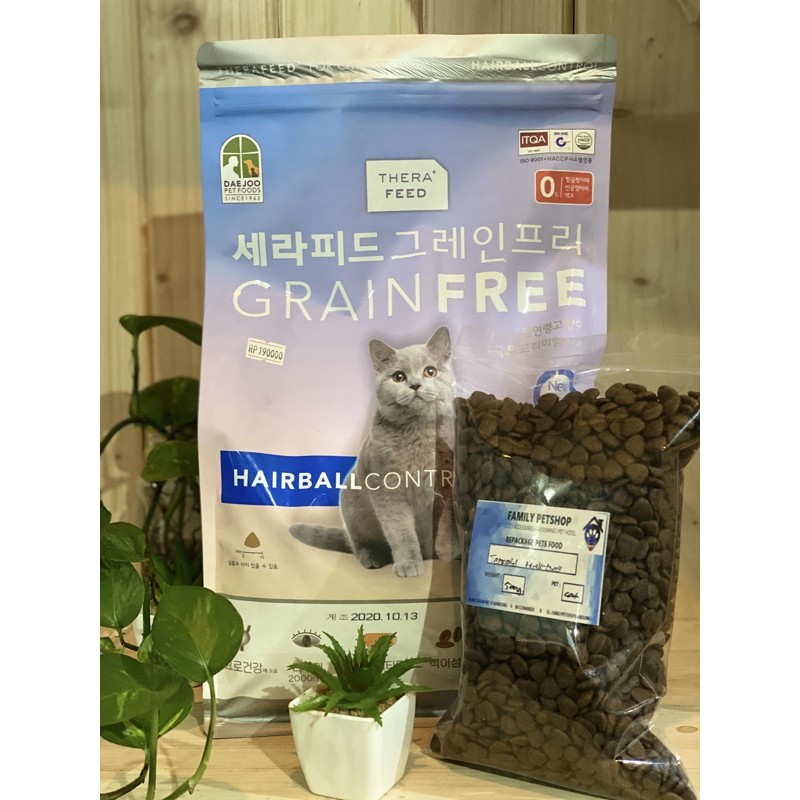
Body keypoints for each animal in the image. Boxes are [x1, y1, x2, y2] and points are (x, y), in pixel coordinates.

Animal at [289, 326, 459, 577]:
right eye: (399, 377)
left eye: (430, 371)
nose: (415, 384)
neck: (419, 433)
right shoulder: (386, 488)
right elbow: (400, 530)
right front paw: (408, 563)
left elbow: (449, 521)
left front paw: (448, 550)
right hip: (352, 503)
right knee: (359, 544)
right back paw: (372, 556)